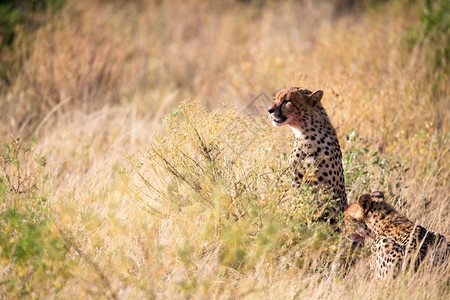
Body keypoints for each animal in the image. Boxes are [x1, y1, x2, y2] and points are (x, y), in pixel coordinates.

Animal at [268, 86, 348, 223]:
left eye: (286, 101)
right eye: (275, 99)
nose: (269, 110)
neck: (306, 135)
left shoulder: (328, 190)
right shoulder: (297, 182)